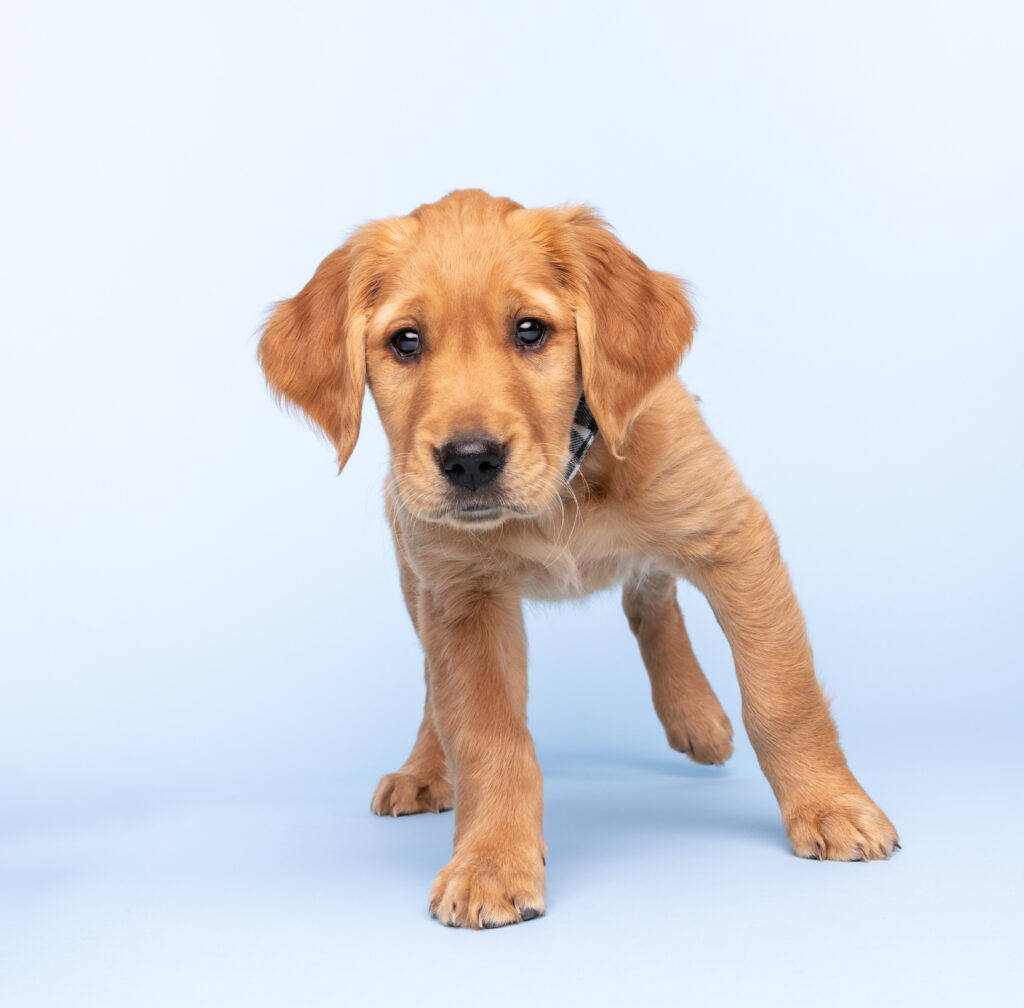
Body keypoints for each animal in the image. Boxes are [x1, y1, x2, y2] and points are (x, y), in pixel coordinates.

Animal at [256, 188, 897, 930]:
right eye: (405, 341)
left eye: (531, 331)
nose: (469, 461)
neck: (561, 487)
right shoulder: (461, 594)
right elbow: (485, 735)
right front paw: (492, 863)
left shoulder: (732, 536)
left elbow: (781, 695)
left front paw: (830, 806)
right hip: (415, 571)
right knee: (439, 684)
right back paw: (423, 768)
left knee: (650, 597)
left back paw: (697, 717)